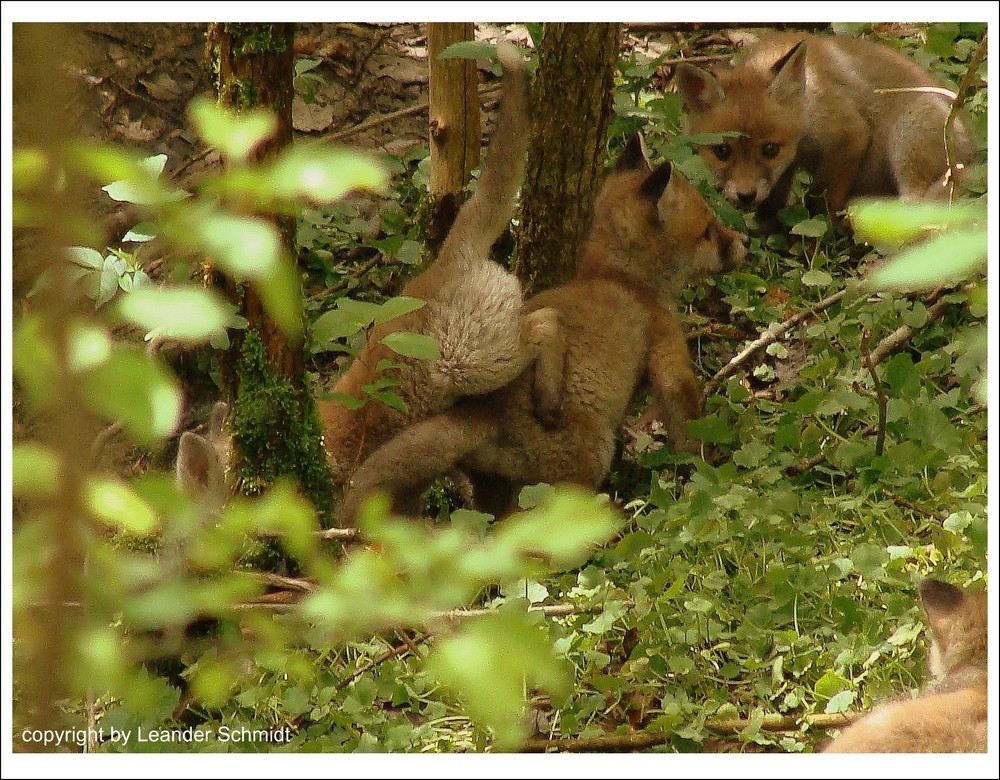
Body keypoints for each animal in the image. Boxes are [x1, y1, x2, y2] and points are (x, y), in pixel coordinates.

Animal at [340, 134, 748, 524]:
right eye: (708, 231)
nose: (745, 242)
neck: (621, 280)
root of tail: (485, 415)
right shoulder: (666, 347)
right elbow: (687, 423)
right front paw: (705, 474)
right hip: (589, 459)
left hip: (495, 484)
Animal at [676, 33, 972, 229]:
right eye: (722, 151)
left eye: (769, 149)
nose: (745, 196)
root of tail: (972, 154)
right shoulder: (788, 164)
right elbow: (774, 199)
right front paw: (767, 228)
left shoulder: (850, 135)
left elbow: (821, 199)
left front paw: (822, 229)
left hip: (907, 137)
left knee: (917, 207)